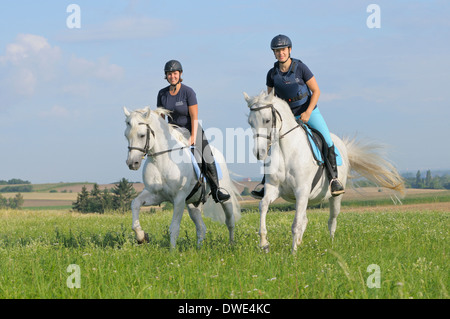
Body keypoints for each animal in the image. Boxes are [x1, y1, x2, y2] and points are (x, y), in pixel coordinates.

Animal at [123, 107, 241, 250]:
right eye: (126, 135)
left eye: (141, 135)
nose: (132, 163)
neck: (161, 160)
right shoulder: (155, 194)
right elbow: (135, 204)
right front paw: (141, 237)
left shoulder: (179, 198)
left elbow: (174, 227)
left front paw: (172, 252)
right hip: (192, 203)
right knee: (201, 227)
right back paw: (199, 249)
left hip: (224, 199)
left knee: (230, 221)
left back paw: (232, 245)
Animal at [244, 90, 406, 255]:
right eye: (250, 123)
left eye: (267, 120)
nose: (259, 153)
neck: (285, 151)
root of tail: (343, 147)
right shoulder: (274, 188)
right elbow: (263, 205)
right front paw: (264, 244)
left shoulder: (301, 191)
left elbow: (296, 224)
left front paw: (293, 253)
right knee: (305, 219)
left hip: (334, 198)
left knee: (331, 220)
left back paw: (331, 244)